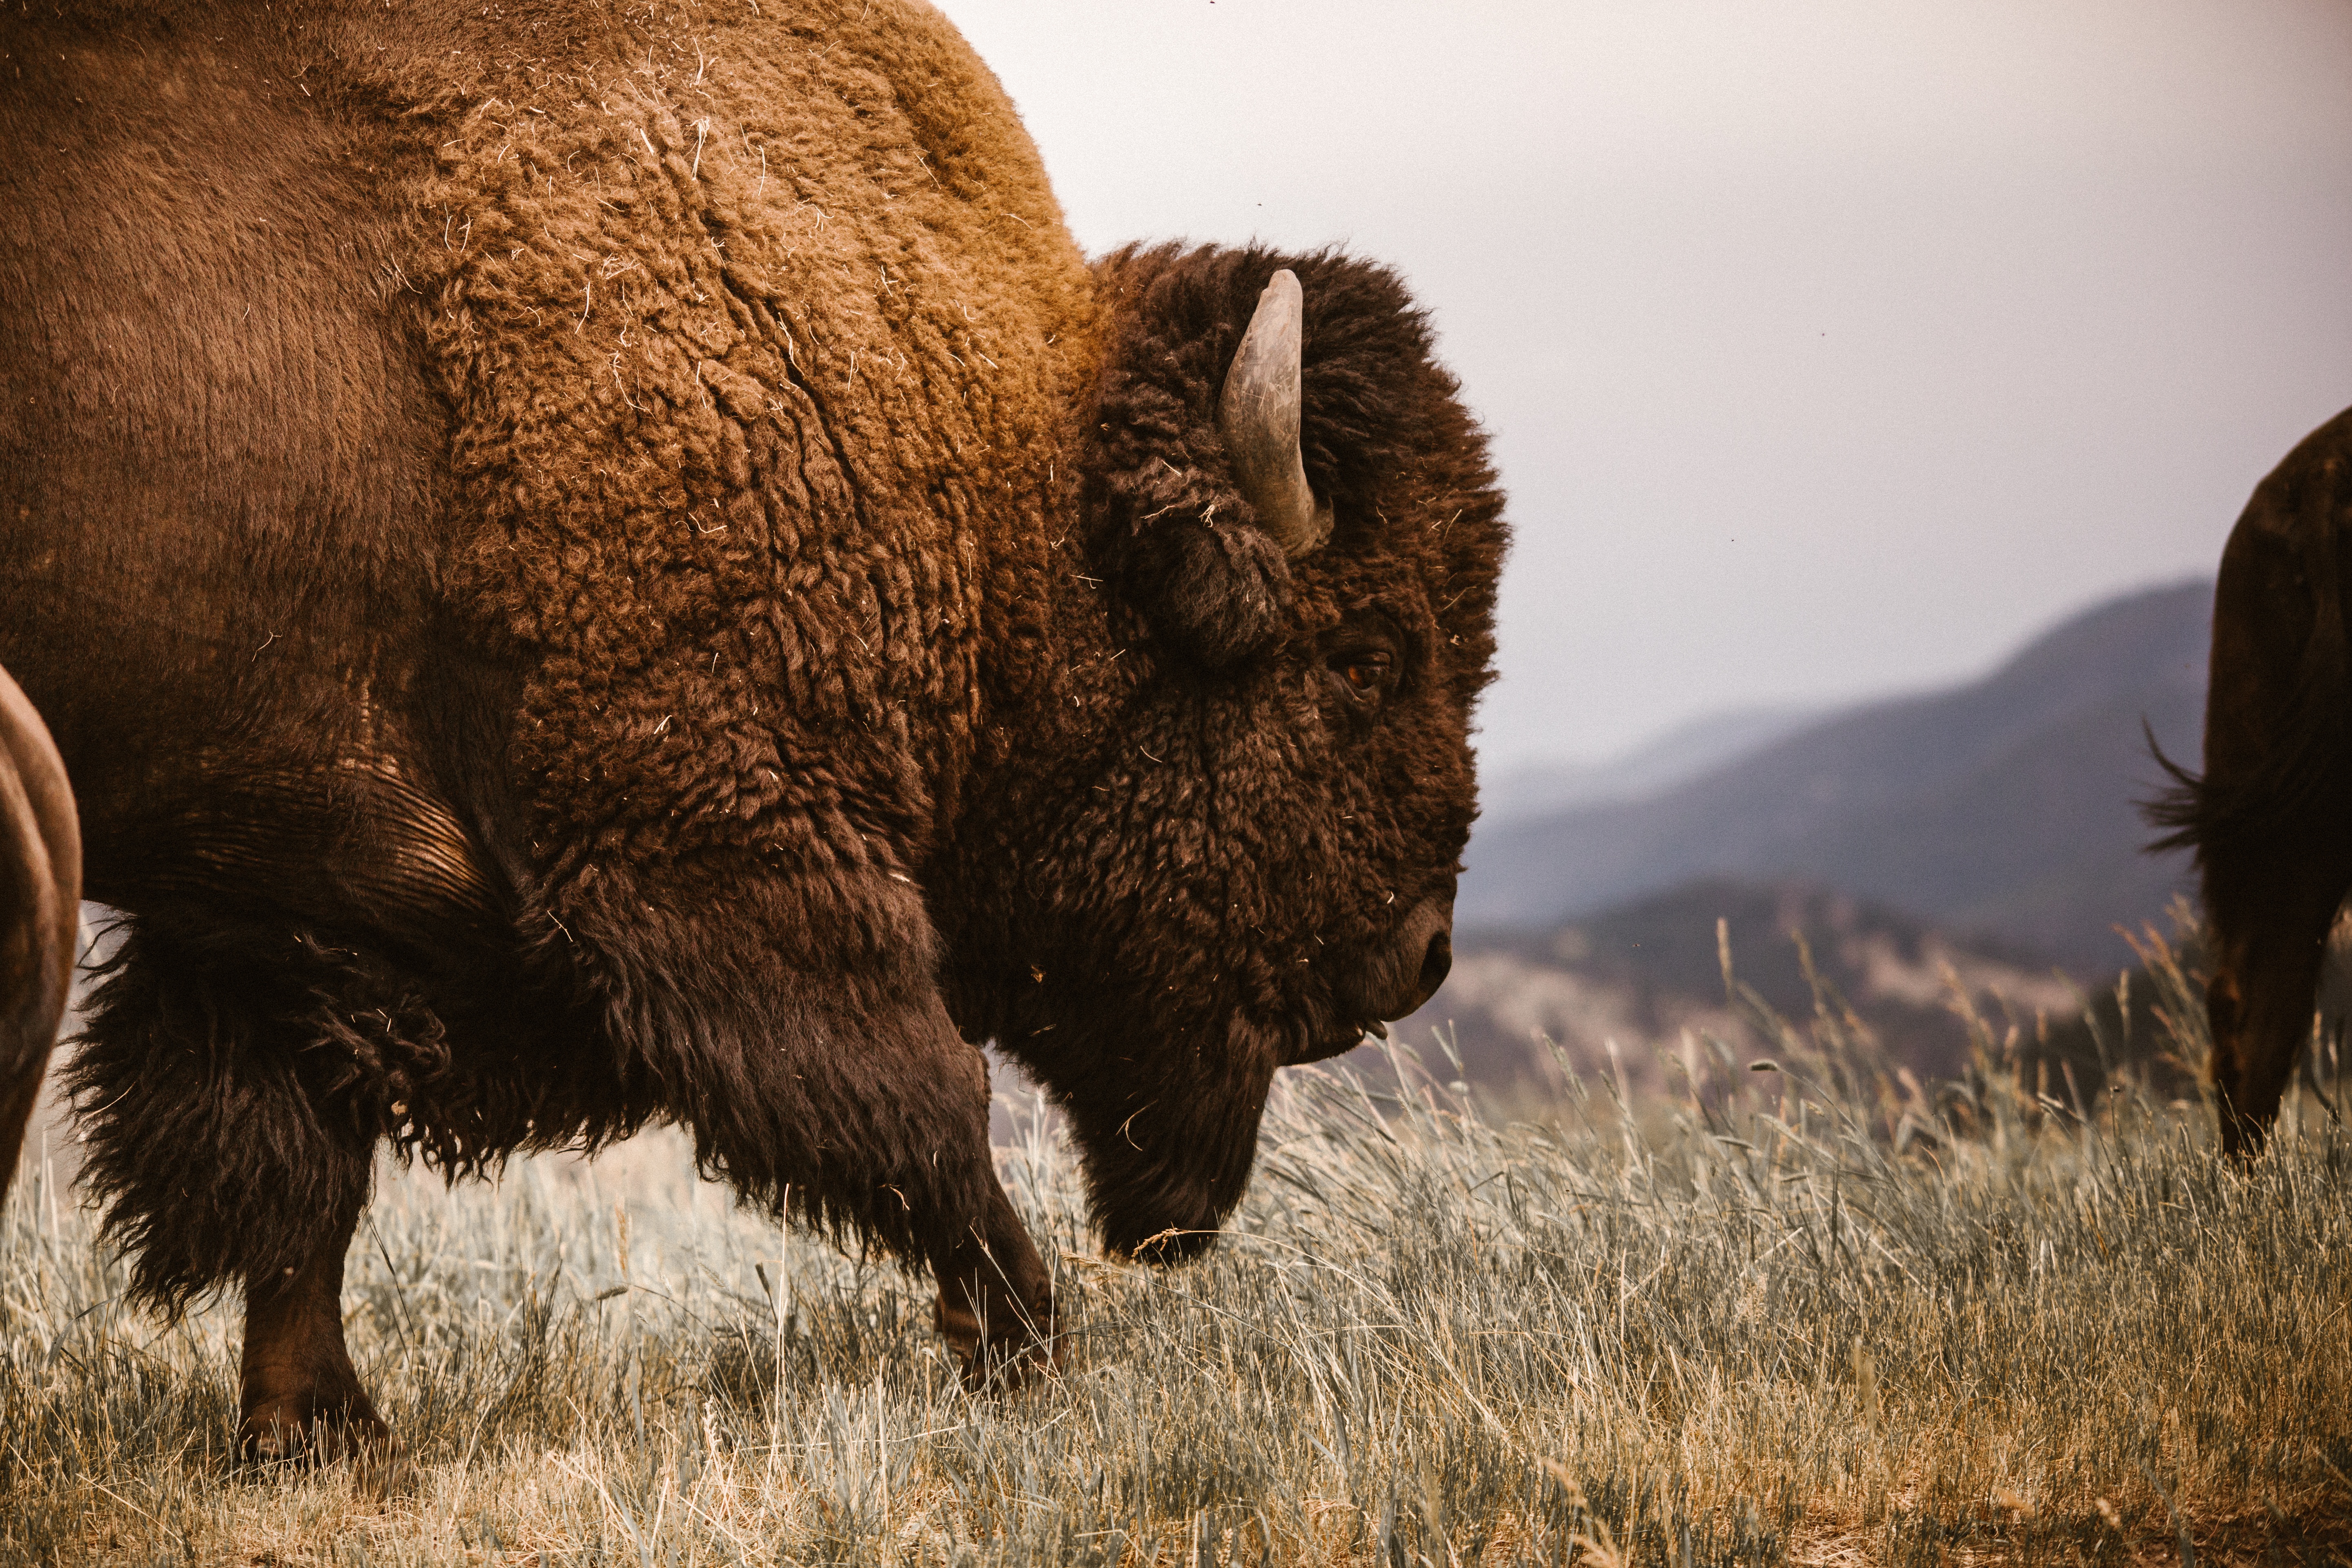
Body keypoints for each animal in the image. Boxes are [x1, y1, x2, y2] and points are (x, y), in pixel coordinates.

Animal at [0, 6, 1505, 1467]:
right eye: (1364, 658)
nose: (1423, 955)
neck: (998, 473)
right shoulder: (724, 851)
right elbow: (920, 1104)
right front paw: (1029, 1347)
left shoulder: (287, 902)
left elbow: (289, 1171)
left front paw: (316, 1430)